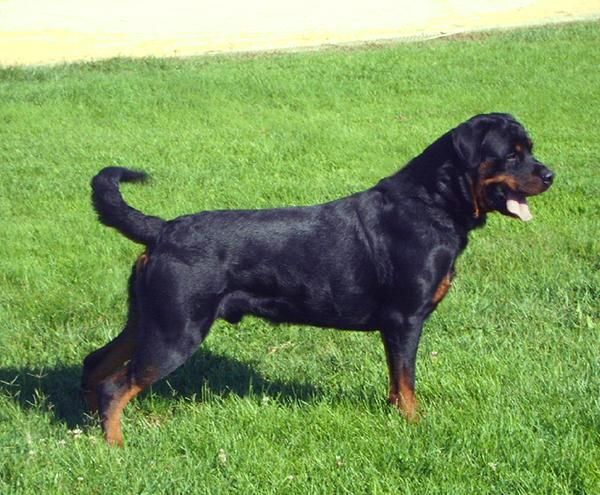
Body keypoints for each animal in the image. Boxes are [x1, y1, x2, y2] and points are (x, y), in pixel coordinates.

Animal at [83, 114, 552, 448]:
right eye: (511, 155)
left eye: (529, 149)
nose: (550, 175)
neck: (433, 203)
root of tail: (162, 230)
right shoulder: (405, 319)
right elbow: (407, 382)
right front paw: (414, 423)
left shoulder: (394, 327)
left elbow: (395, 380)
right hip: (176, 331)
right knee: (116, 386)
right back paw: (116, 445)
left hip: (148, 318)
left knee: (95, 363)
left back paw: (87, 425)